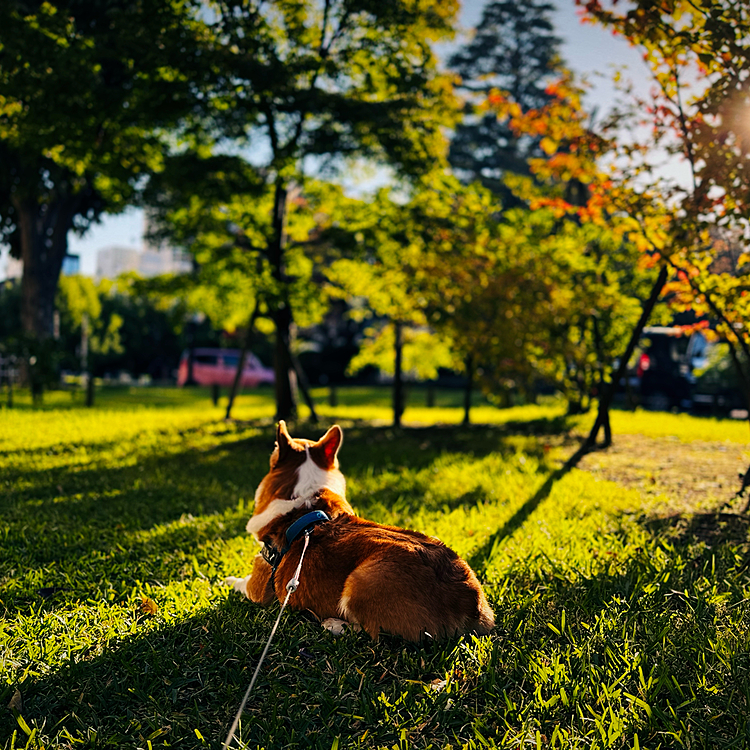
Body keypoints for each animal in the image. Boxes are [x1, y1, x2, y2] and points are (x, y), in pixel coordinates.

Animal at [229, 420, 500, 644]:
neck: (305, 498)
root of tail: (468, 601)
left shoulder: (258, 585)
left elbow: (240, 582)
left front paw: (227, 580)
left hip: (362, 580)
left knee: (373, 634)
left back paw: (333, 624)